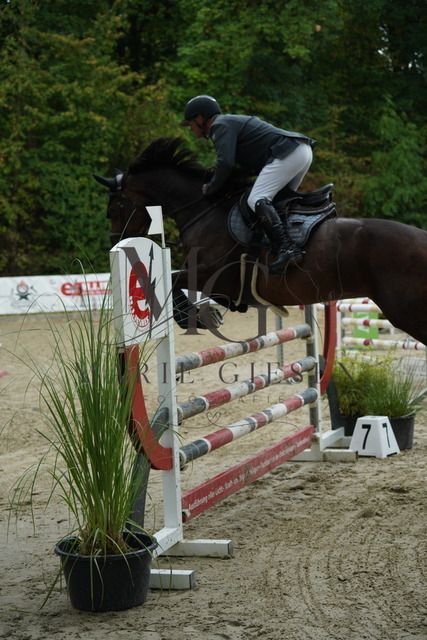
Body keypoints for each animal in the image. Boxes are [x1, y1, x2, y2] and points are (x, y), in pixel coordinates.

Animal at [95, 137, 427, 346]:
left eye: (113, 208)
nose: (116, 240)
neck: (204, 210)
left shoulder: (216, 275)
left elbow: (175, 282)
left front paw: (196, 318)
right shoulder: (229, 288)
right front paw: (203, 315)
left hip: (407, 312)